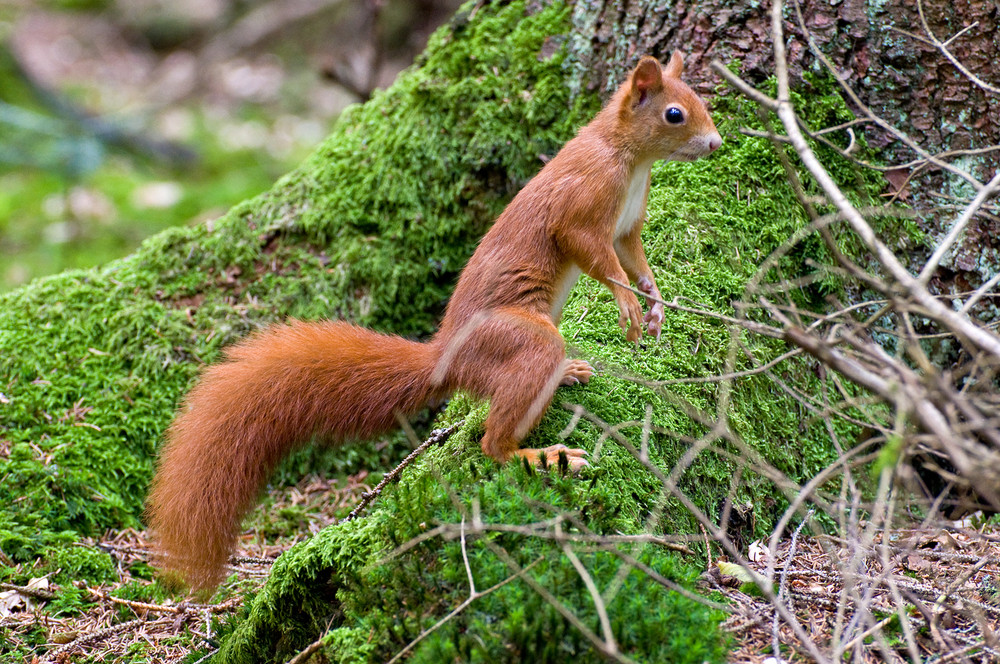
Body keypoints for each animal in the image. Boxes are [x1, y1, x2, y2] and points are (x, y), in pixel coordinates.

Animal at [146, 53, 720, 592]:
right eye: (674, 113)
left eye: (699, 100)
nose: (715, 143)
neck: (629, 158)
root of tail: (445, 359)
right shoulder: (581, 205)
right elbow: (594, 254)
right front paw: (626, 304)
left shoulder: (626, 225)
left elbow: (633, 259)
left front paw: (653, 301)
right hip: (517, 339)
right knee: (491, 444)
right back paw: (540, 455)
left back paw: (568, 374)